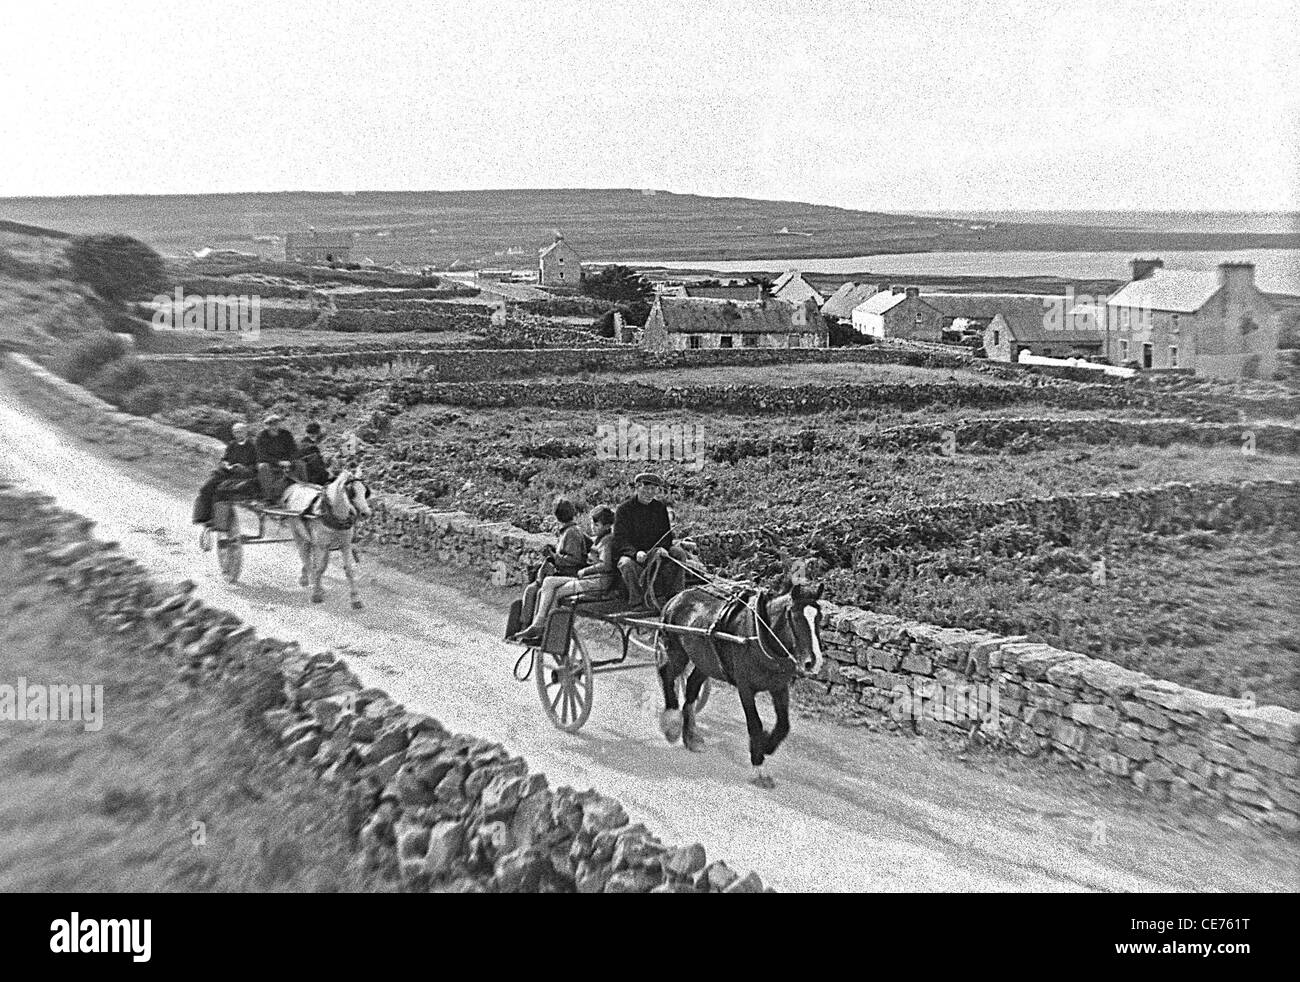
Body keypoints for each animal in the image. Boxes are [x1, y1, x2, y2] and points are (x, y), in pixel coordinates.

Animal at [282, 465, 369, 606]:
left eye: (365, 491)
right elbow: (319, 568)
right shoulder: (322, 545)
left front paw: (356, 599)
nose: (366, 513)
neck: (332, 514)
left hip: (313, 541)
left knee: (310, 557)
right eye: (352, 491)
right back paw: (309, 580)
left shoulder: (345, 545)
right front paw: (316, 594)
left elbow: (349, 570)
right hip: (298, 534)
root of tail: (295, 487)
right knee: (305, 556)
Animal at [655, 582, 826, 790]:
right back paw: (671, 723)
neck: (759, 636)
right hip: (676, 651)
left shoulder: (778, 687)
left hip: (706, 662)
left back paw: (691, 737)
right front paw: (759, 767)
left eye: (819, 617)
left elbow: (784, 725)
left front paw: (766, 745)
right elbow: (755, 724)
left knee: (691, 688)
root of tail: (676, 597)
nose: (813, 662)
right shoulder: (745, 687)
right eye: (795, 617)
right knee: (667, 676)